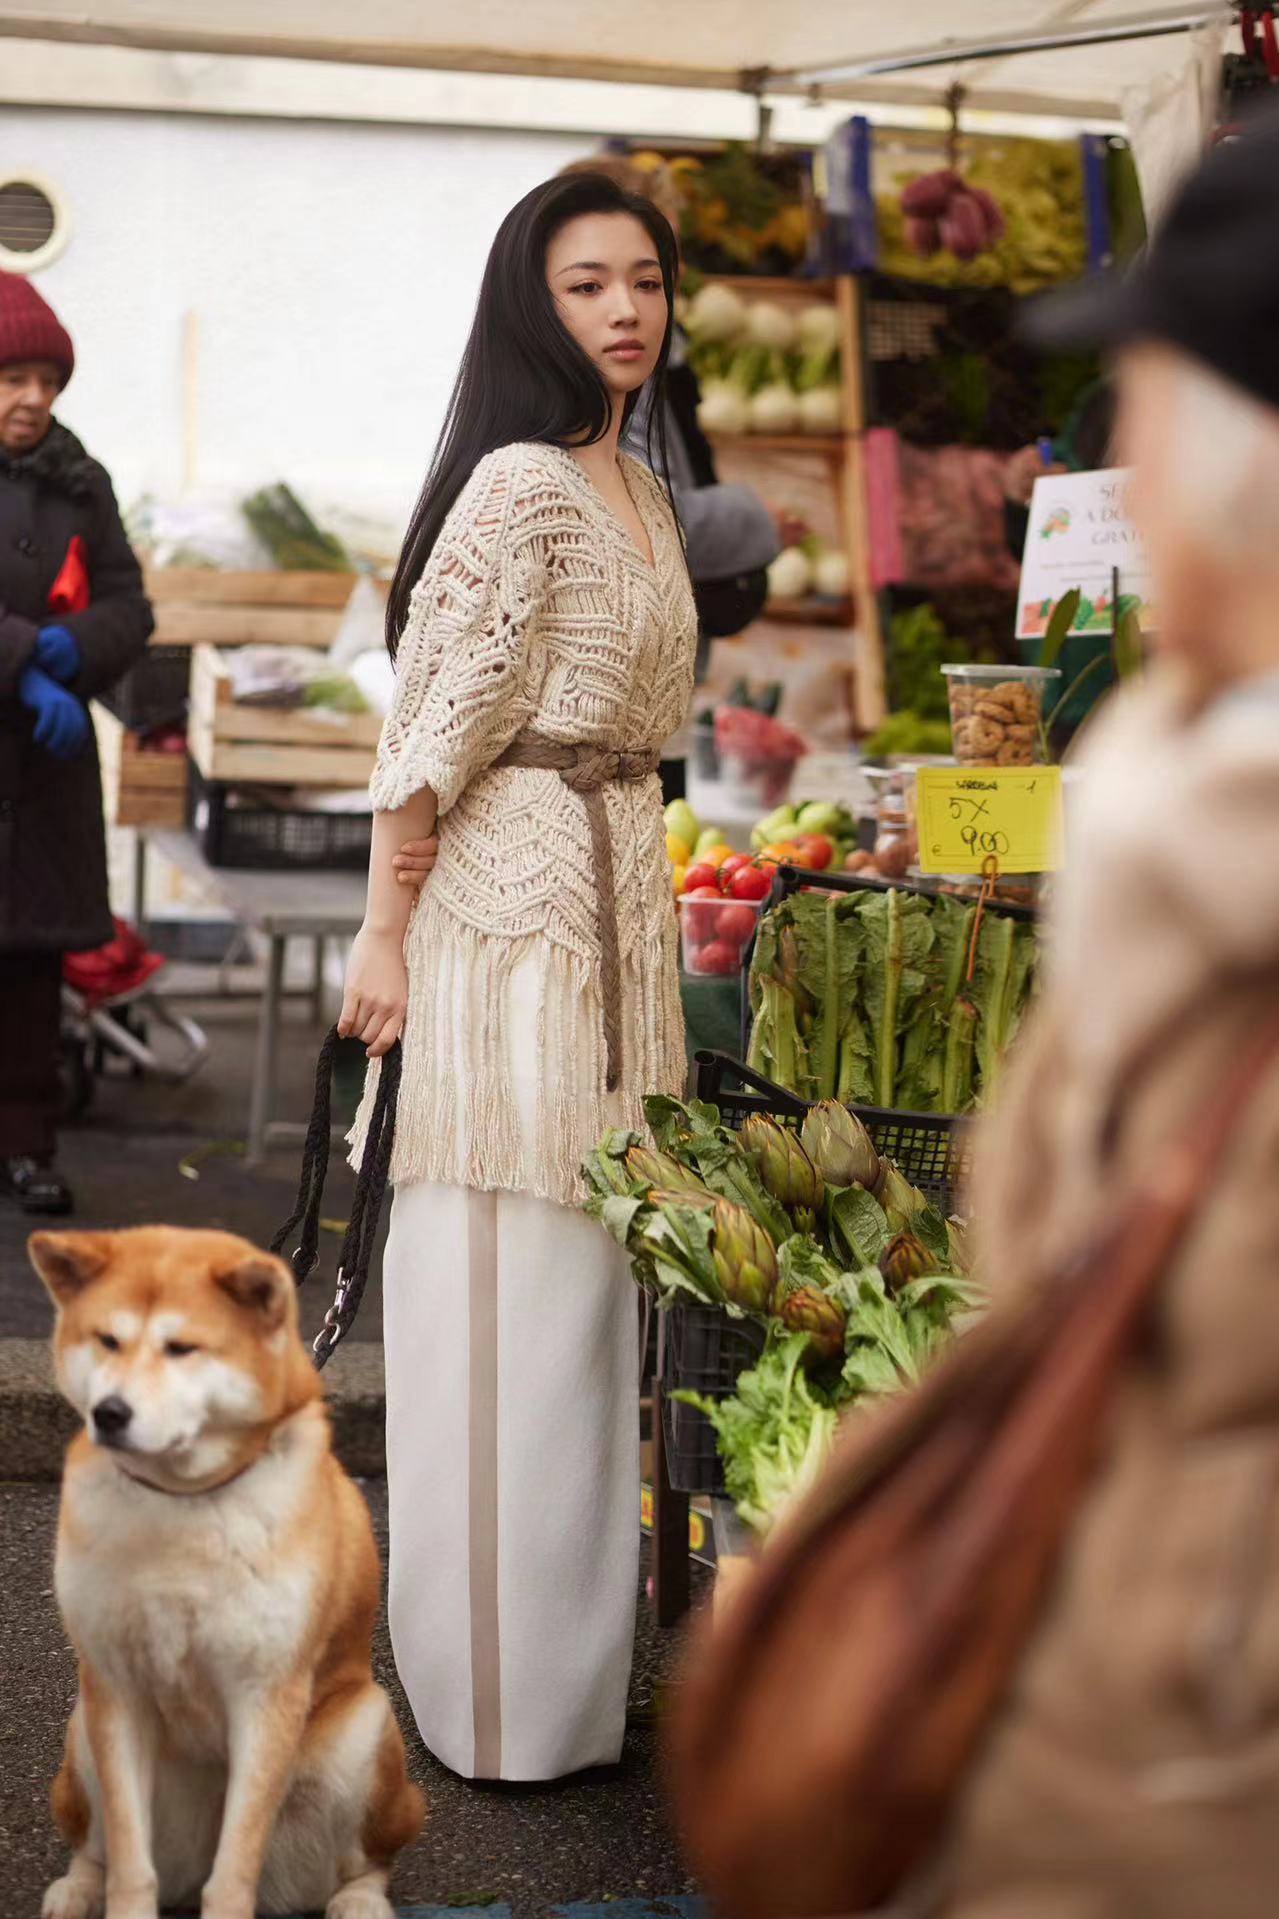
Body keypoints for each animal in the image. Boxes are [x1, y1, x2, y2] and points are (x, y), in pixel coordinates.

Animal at [33, 1228, 422, 1919]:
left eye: (181, 1348)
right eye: (106, 1340)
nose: (109, 1413)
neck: (182, 1502)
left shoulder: (266, 1695)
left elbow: (235, 1864)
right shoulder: (116, 1687)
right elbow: (129, 1862)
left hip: (366, 1729)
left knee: (369, 1859)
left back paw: (360, 1900)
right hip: (82, 1730)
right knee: (95, 1849)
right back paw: (77, 1888)